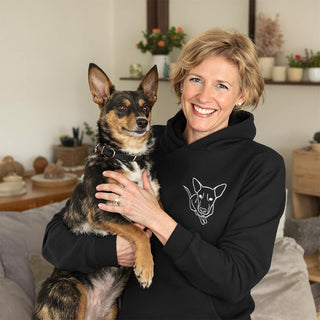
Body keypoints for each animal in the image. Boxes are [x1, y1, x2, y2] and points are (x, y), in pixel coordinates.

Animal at [33, 63, 159, 320]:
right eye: (121, 107)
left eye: (146, 107)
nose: (143, 122)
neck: (128, 157)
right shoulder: (103, 211)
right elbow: (138, 233)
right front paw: (145, 267)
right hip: (71, 291)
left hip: (111, 311)